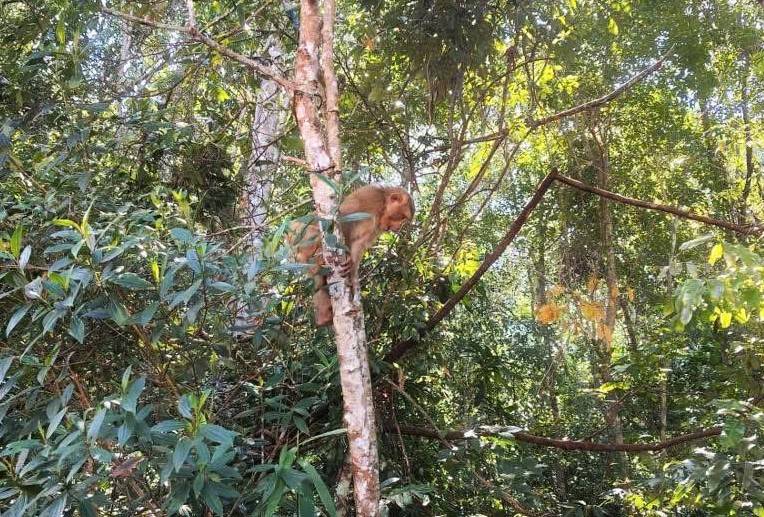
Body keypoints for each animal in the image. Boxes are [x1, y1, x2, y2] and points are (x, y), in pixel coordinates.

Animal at [288, 185, 415, 326]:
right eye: (402, 217)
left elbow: (359, 244)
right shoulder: (370, 197)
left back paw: (323, 317)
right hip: (297, 237)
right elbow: (344, 217)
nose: (399, 227)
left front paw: (352, 269)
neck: (382, 208)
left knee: (318, 281)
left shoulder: (378, 227)